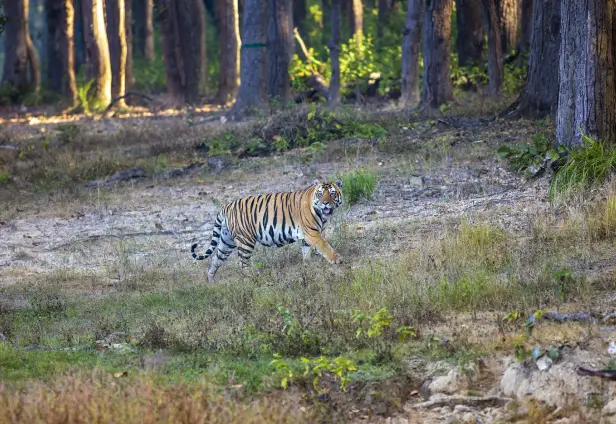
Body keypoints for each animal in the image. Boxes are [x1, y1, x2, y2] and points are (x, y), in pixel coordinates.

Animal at [191, 179, 344, 282]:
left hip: (226, 242)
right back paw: (252, 277)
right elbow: (325, 246)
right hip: (245, 241)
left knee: (216, 259)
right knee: (242, 263)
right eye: (320, 194)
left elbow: (307, 252)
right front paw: (337, 260)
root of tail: (227, 206)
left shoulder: (309, 236)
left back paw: (211, 281)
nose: (325, 203)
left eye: (332, 194)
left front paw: (308, 266)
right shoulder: (312, 233)